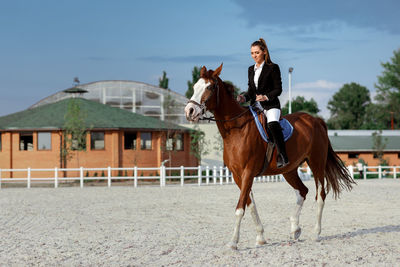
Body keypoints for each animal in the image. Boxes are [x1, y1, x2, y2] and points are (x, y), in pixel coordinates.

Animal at [185, 63, 356, 250]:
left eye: (209, 87)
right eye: (194, 86)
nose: (189, 111)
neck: (237, 130)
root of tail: (316, 121)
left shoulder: (248, 173)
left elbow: (240, 208)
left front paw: (233, 242)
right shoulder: (238, 175)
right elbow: (250, 205)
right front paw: (260, 237)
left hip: (316, 163)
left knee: (320, 195)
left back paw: (316, 233)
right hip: (289, 170)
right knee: (302, 191)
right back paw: (295, 229)